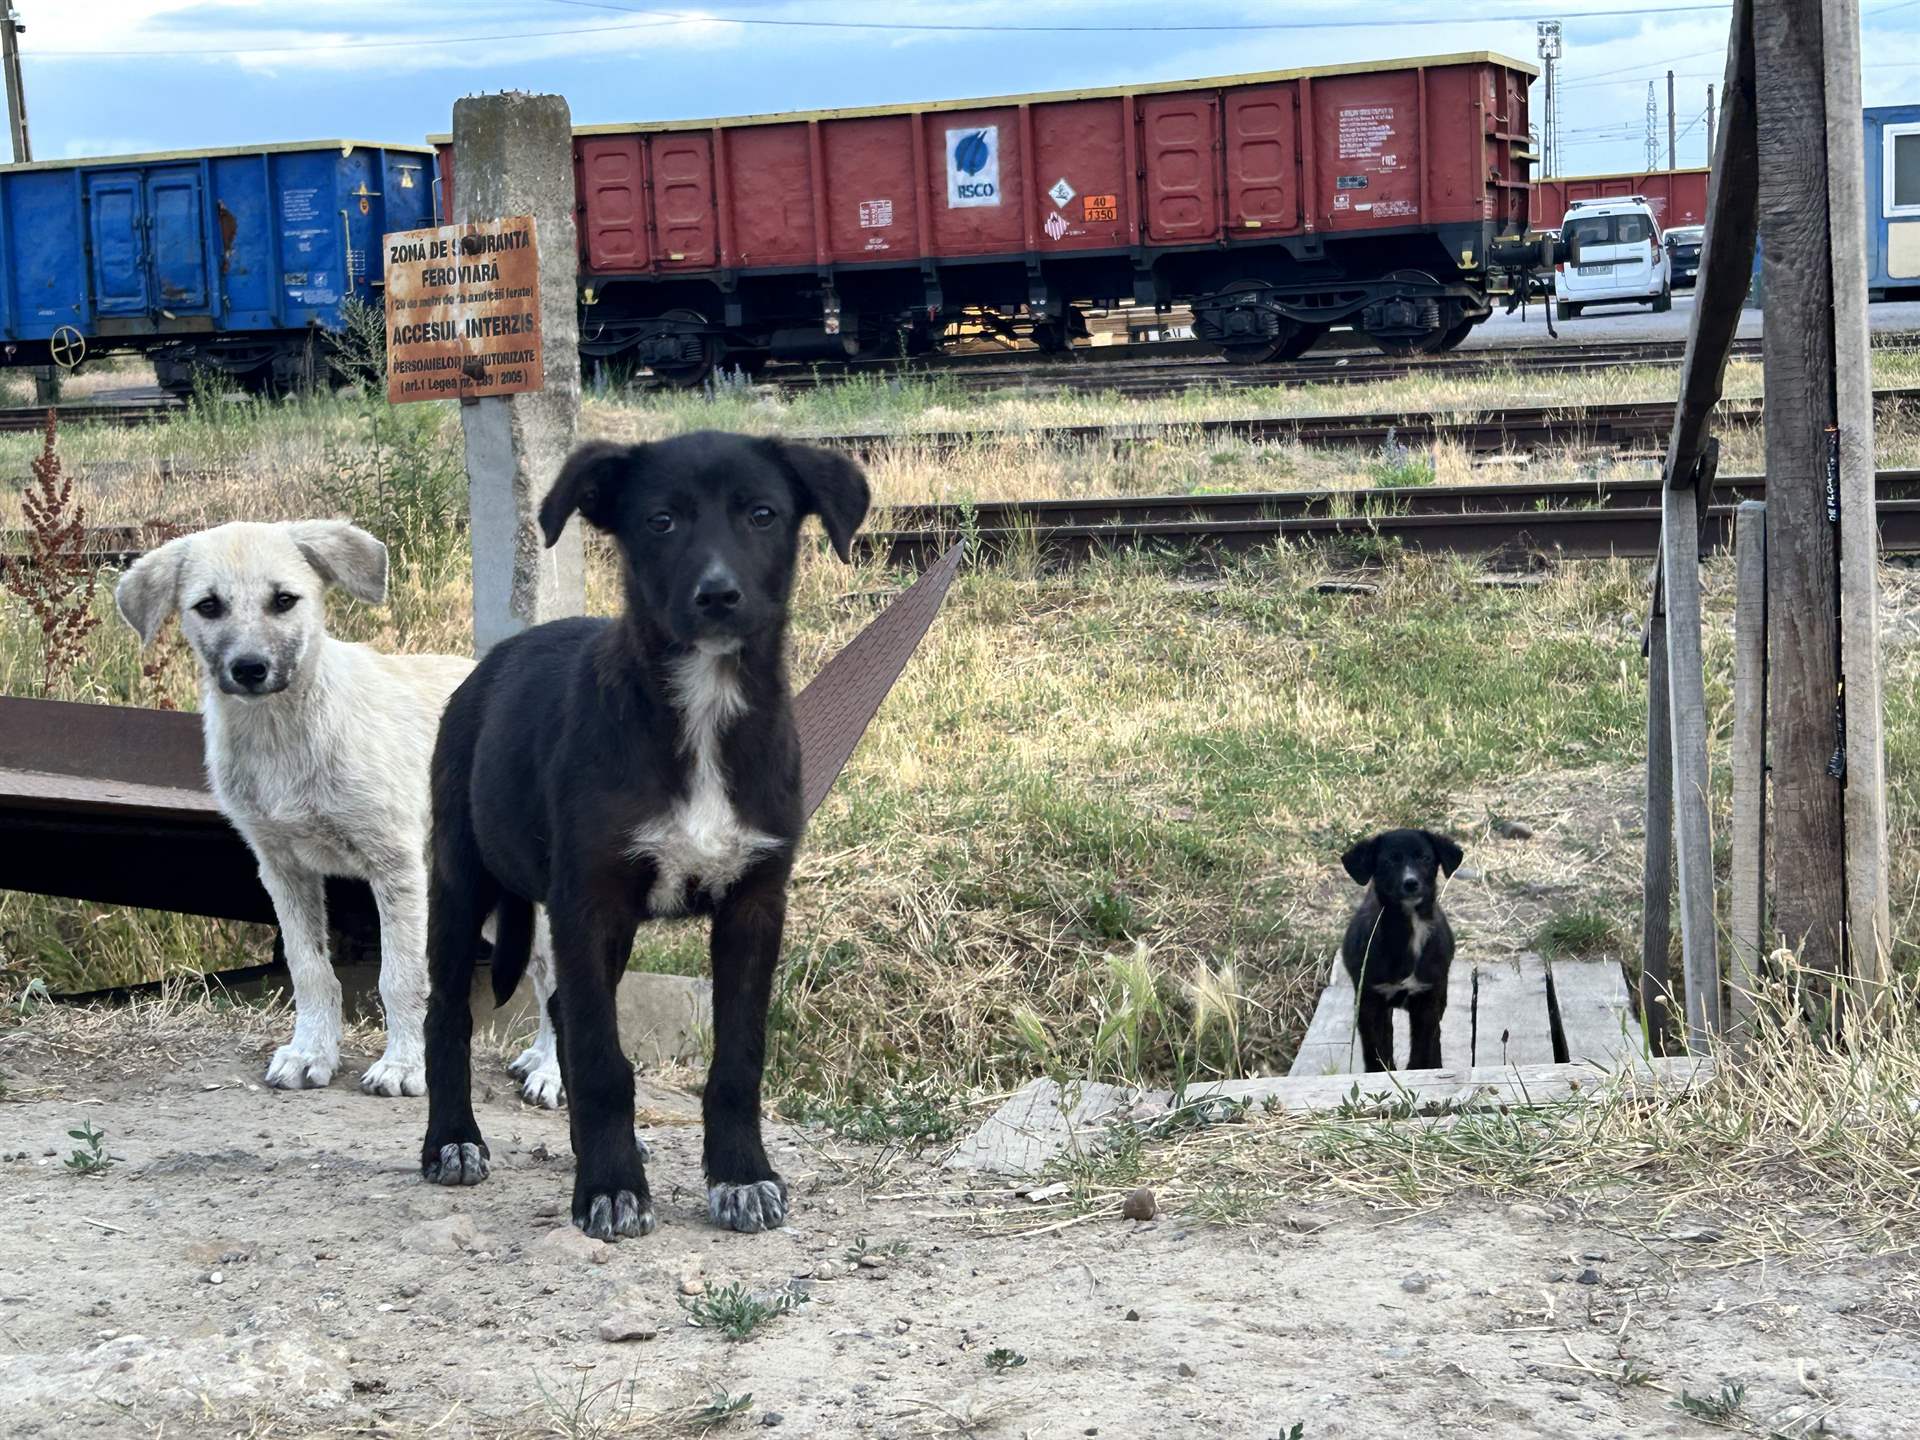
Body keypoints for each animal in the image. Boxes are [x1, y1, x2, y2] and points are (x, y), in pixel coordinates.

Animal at [119, 522, 560, 1105]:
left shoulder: (396, 868)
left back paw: (552, 1072)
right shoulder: (282, 869)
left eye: (284, 600)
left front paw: (403, 1066)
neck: (283, 734)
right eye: (208, 606)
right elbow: (310, 971)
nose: (250, 669)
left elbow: (400, 978)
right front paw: (310, 1053)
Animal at [426, 426, 871, 1244]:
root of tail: (491, 662)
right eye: (660, 522)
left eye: (762, 514)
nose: (718, 595)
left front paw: (741, 1176)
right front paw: (610, 1186)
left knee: (563, 1011)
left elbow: (738, 1058)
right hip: (460, 874)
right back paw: (451, 1142)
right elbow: (603, 1061)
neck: (703, 706)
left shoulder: (754, 904)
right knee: (448, 1012)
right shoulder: (589, 902)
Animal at [1344, 833, 1459, 1075]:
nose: (1411, 882)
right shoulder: (1370, 1001)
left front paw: (1421, 1069)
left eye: (1425, 858)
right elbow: (1376, 1049)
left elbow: (1423, 1046)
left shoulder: (1427, 997)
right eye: (1388, 861)